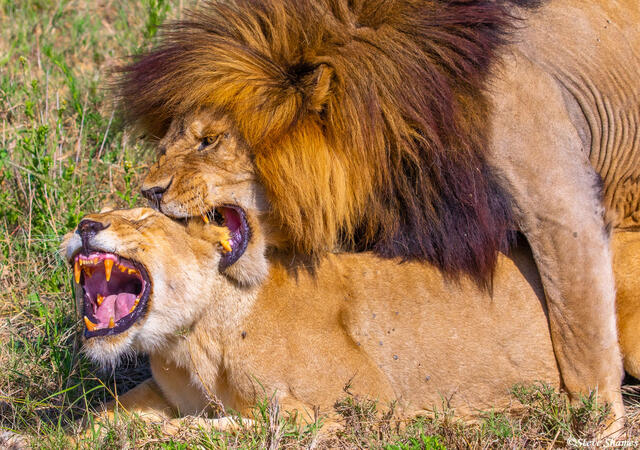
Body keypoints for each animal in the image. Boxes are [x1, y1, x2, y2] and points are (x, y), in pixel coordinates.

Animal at [62, 207, 640, 436]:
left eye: (141, 219)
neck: (192, 343)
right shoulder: (163, 388)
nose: (85, 225)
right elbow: (102, 417)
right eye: (99, 213)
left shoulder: (345, 409)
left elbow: (226, 428)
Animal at [117, 0, 640, 429]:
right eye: (164, 147)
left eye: (210, 141)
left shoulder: (559, 201)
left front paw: (596, 427)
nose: (149, 191)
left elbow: (581, 339)